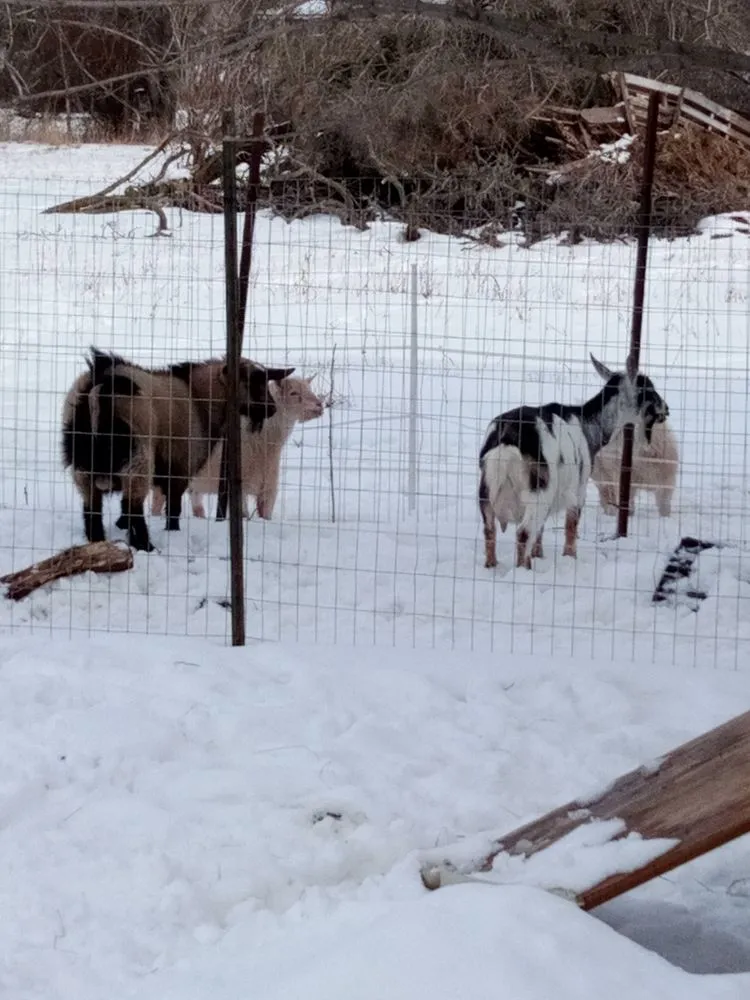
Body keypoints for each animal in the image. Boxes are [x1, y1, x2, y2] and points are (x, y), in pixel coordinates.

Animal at [62, 347, 294, 552]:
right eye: (251, 381)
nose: (272, 409)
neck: (199, 401)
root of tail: (100, 384)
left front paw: (120, 527)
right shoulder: (181, 468)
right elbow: (173, 509)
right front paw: (171, 532)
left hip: (82, 465)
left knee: (92, 508)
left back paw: (98, 543)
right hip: (138, 459)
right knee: (132, 507)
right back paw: (146, 546)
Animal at [151, 375, 324, 520]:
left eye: (309, 389)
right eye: (293, 393)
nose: (320, 405)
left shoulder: (268, 488)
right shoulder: (240, 484)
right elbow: (243, 514)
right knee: (156, 505)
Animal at [478, 355, 669, 570]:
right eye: (648, 389)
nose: (666, 408)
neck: (588, 426)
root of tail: (507, 437)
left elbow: (541, 531)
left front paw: (539, 556)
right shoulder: (578, 489)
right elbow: (571, 526)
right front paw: (570, 557)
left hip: (486, 491)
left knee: (490, 529)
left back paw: (492, 565)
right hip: (539, 491)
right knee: (524, 533)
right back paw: (523, 569)